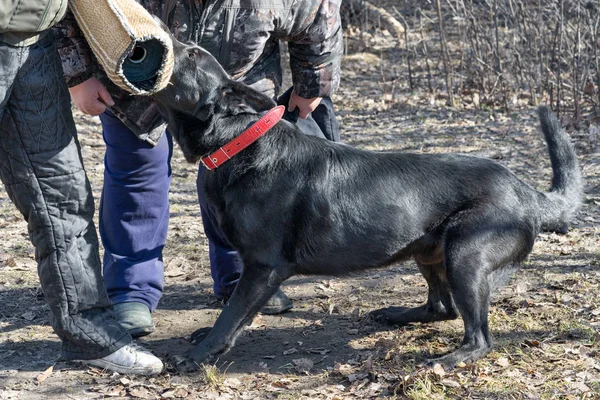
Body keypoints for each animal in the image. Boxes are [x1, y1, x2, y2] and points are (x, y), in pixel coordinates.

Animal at [154, 40, 580, 372]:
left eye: (191, 53)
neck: (238, 141)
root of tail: (527, 191)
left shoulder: (262, 266)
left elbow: (231, 316)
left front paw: (200, 354)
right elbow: (232, 315)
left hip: (466, 254)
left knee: (479, 338)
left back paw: (444, 361)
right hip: (430, 253)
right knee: (442, 308)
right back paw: (395, 315)